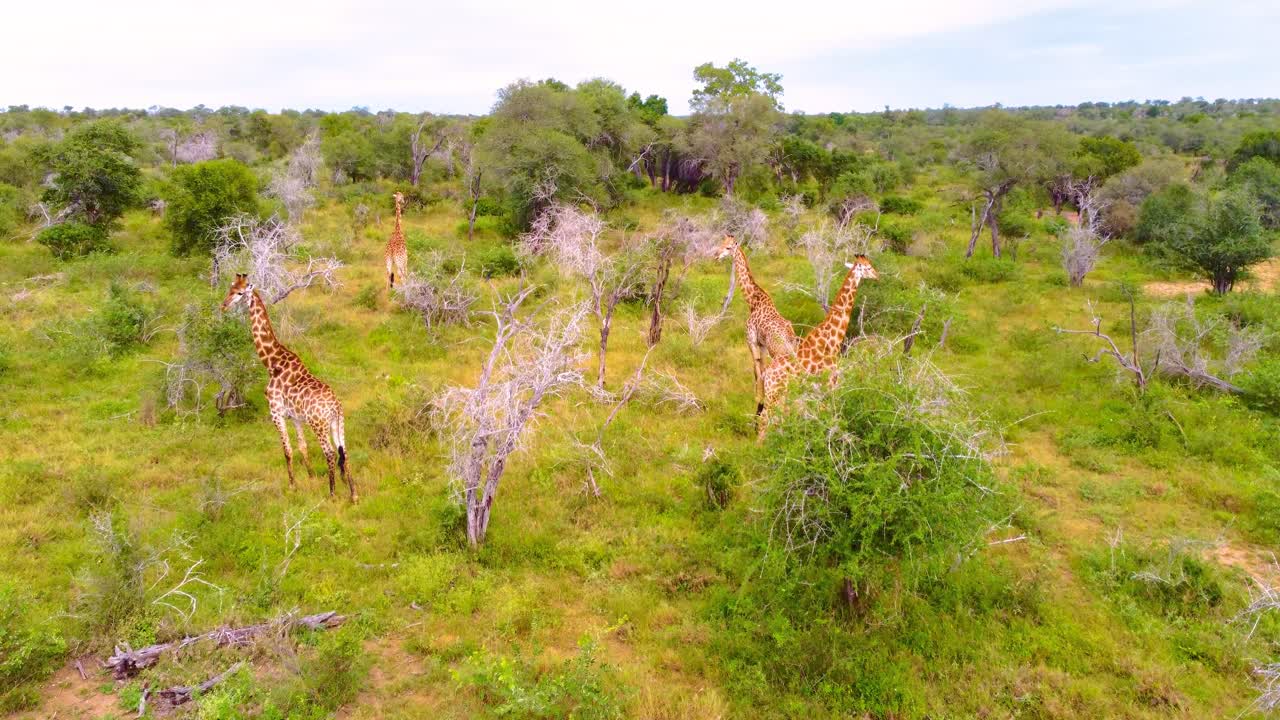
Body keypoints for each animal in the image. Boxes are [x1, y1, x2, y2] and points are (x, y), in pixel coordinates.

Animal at [221, 274, 357, 501]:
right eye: (230, 288)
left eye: (239, 293)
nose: (223, 305)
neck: (271, 362)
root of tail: (336, 407)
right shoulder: (295, 417)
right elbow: (302, 447)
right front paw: (310, 477)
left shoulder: (276, 413)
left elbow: (287, 450)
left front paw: (292, 485)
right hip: (337, 424)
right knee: (344, 452)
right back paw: (353, 494)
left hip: (318, 424)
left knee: (330, 453)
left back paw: (332, 493)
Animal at [714, 235, 799, 415]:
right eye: (721, 243)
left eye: (728, 247)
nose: (716, 256)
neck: (753, 301)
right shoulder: (763, 345)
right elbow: (761, 369)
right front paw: (760, 400)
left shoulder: (751, 341)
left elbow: (756, 370)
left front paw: (757, 400)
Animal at [758, 255, 879, 440]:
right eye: (867, 267)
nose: (877, 276)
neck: (831, 341)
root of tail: (767, 373)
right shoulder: (829, 384)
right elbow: (830, 414)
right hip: (775, 392)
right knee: (765, 418)